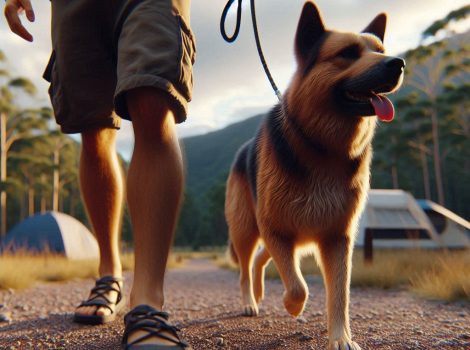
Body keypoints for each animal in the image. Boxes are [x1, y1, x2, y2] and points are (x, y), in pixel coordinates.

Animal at [224, 1, 404, 348]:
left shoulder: (337, 238)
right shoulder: (276, 228)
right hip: (247, 230)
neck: (322, 147)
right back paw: (250, 301)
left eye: (380, 50)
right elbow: (298, 287)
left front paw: (341, 338)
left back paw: (259, 291)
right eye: (348, 53)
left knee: (260, 260)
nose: (398, 63)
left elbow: (339, 294)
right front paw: (292, 307)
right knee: (245, 269)